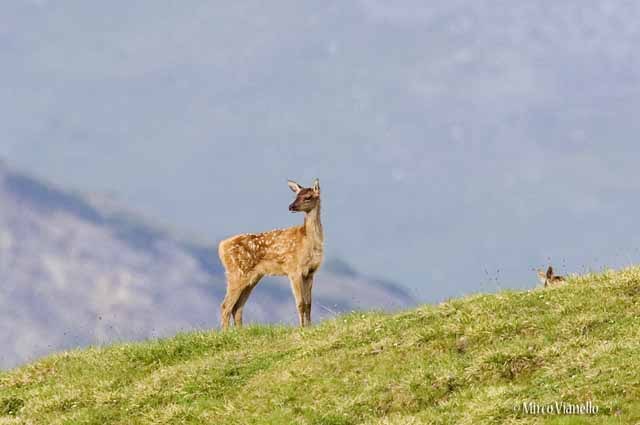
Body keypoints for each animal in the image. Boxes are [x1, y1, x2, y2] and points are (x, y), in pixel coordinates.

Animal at [218, 179, 323, 330]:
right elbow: (301, 303)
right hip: (236, 273)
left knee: (237, 308)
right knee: (226, 306)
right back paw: (226, 333)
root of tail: (221, 247)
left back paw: (239, 331)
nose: (290, 206)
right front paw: (302, 328)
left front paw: (309, 327)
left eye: (307, 197)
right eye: (296, 195)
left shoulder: (310, 272)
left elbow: (309, 304)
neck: (308, 241)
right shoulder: (294, 269)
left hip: (252, 278)